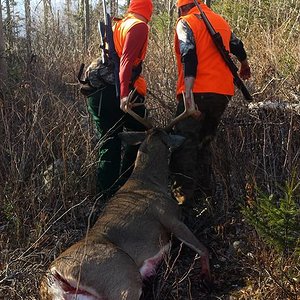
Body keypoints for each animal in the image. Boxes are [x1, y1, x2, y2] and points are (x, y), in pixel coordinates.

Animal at [39, 92, 210, 298]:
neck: (148, 181)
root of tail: (54, 275)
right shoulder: (170, 217)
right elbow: (203, 249)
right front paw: (207, 277)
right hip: (123, 277)